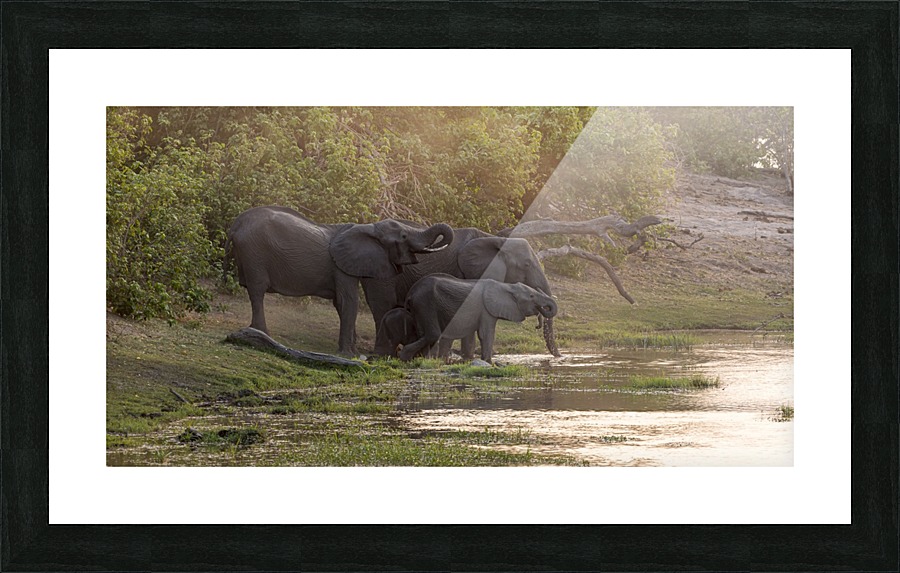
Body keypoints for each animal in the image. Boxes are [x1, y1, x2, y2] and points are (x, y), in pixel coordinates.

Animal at [226, 206, 453, 355]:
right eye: (404, 237)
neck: (367, 227)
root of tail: (235, 225)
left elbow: (340, 303)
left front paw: (353, 353)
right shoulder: (341, 266)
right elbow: (348, 302)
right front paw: (350, 355)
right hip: (254, 252)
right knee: (257, 290)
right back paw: (261, 332)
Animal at [398, 274, 558, 364]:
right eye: (531, 296)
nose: (537, 325)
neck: (506, 286)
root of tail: (411, 292)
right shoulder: (486, 310)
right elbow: (486, 334)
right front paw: (489, 362)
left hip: (419, 307)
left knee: (422, 332)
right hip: (425, 303)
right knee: (433, 334)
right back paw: (404, 356)